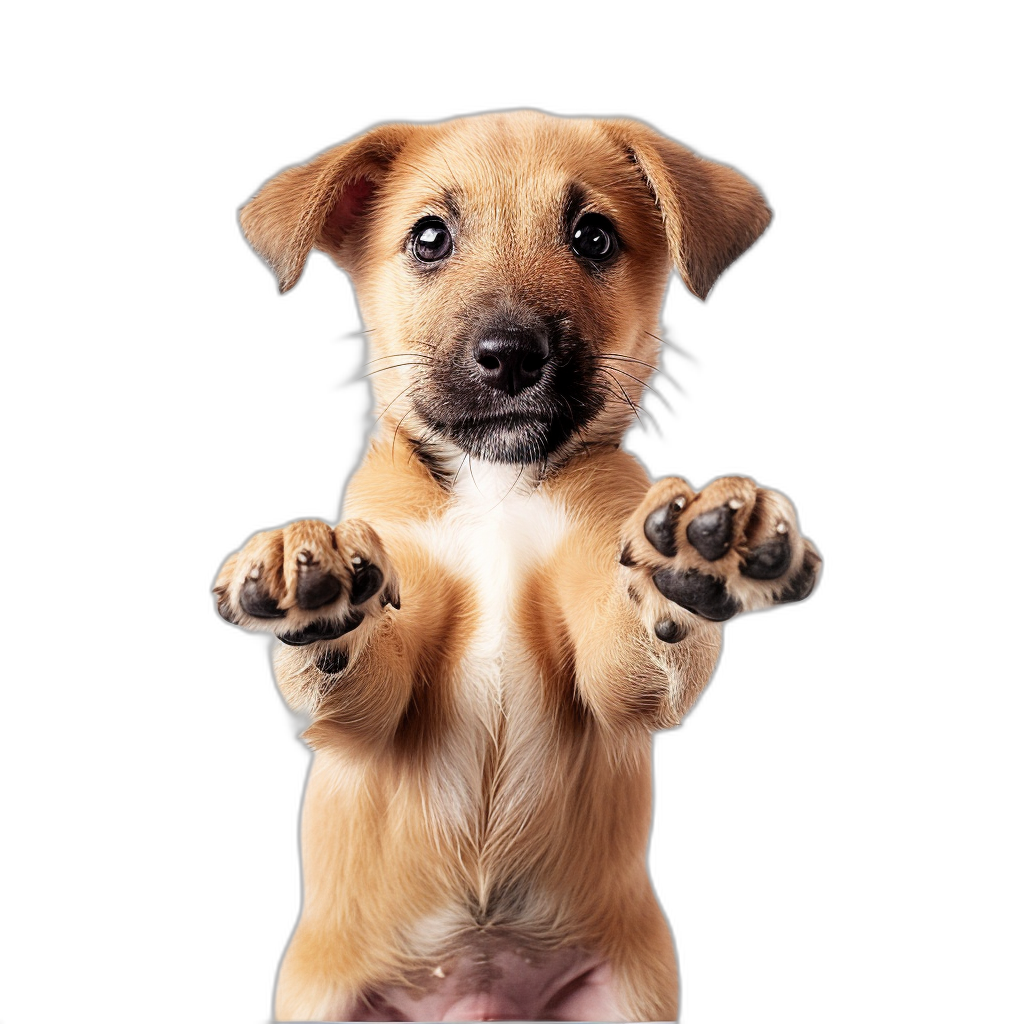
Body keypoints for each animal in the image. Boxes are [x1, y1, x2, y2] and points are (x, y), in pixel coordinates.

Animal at [214, 108, 823, 1019]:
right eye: (430, 236)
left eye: (593, 237)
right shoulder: (372, 711)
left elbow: (640, 635)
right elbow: (352, 665)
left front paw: (693, 554)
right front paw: (308, 572)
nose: (510, 355)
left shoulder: (617, 670)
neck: (494, 486)